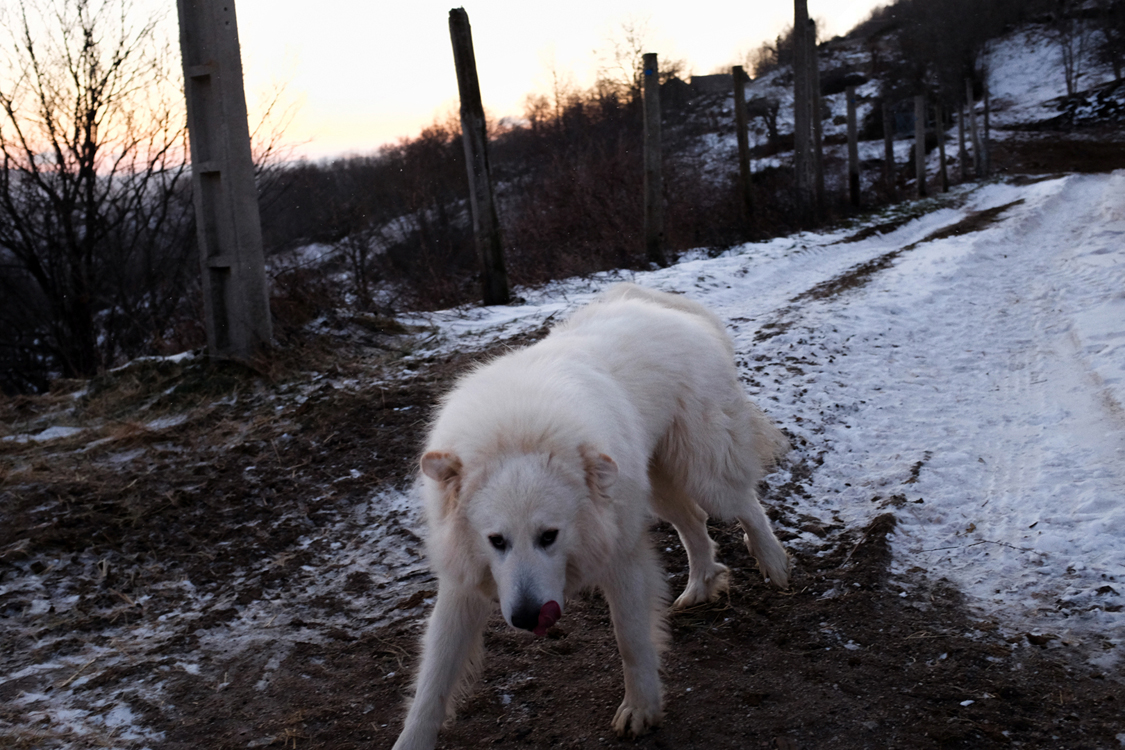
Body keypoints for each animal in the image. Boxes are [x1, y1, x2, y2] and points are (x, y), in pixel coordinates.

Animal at [391, 283, 787, 750]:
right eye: (496, 541)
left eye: (549, 536)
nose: (528, 618)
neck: (517, 434)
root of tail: (662, 305)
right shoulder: (462, 582)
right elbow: (433, 679)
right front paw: (411, 739)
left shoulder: (622, 554)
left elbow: (631, 639)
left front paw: (640, 708)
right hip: (656, 486)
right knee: (693, 523)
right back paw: (700, 585)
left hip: (702, 471)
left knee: (745, 505)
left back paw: (774, 564)